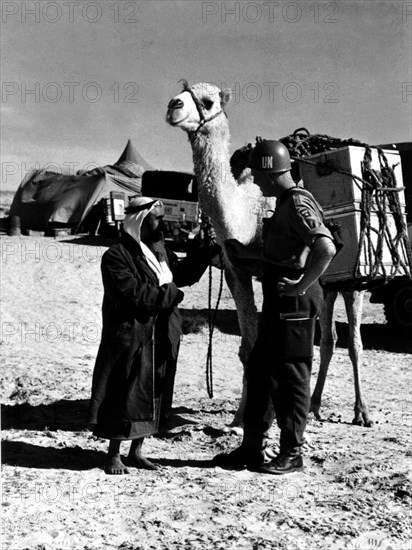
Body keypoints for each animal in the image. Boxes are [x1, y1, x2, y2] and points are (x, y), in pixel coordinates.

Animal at [165, 81, 374, 432]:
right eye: (183, 90)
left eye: (207, 102)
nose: (173, 106)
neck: (247, 215)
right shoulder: (236, 271)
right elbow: (249, 346)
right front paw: (240, 419)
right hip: (327, 283)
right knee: (329, 338)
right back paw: (314, 406)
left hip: (353, 279)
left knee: (354, 342)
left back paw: (362, 412)